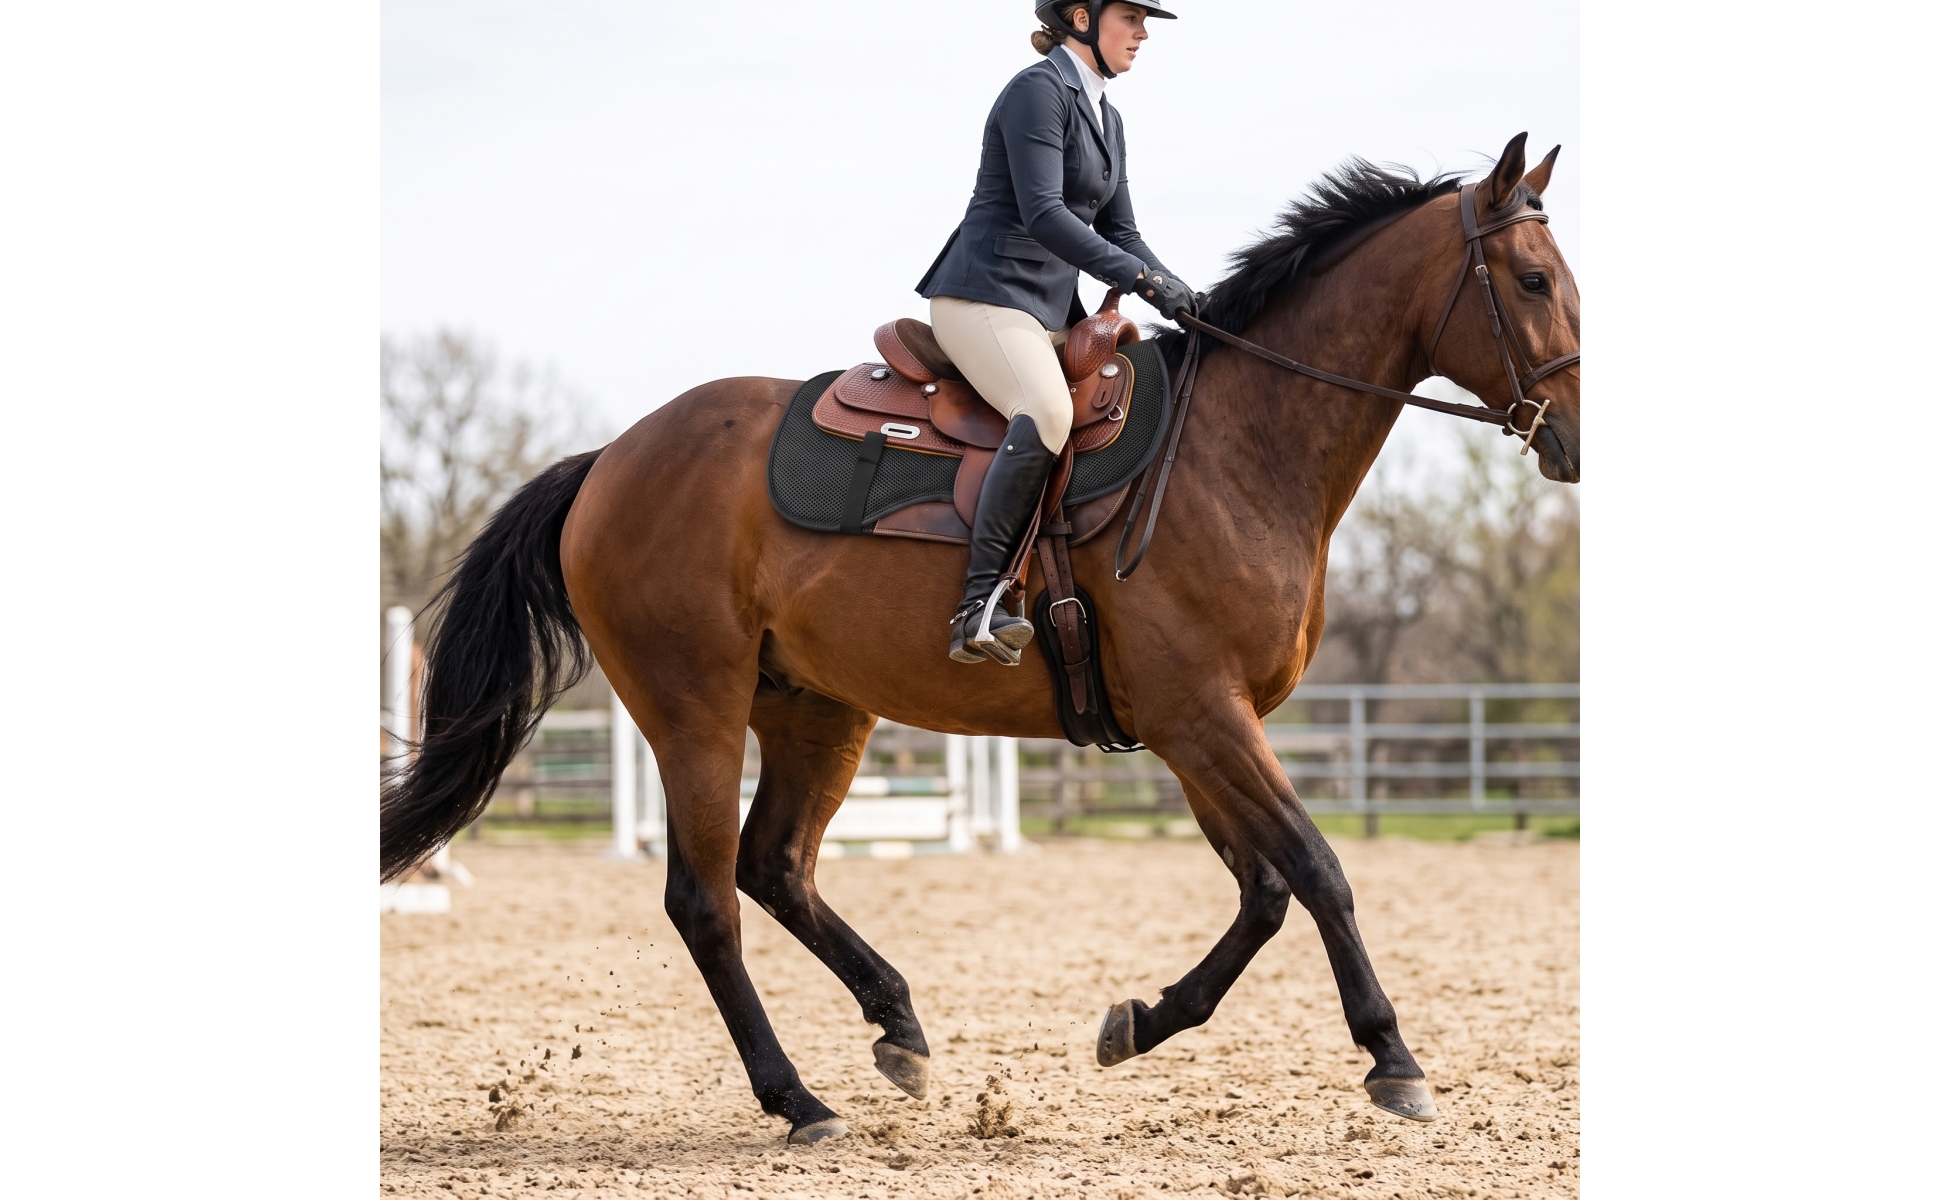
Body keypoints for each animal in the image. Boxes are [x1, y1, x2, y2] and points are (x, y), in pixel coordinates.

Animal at [380, 132, 1581, 1145]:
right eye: (1531, 281)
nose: (1570, 439)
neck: (1239, 448)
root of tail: (611, 458)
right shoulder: (1204, 715)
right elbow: (1320, 871)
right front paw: (1392, 1059)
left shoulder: (1193, 727)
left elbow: (1265, 889)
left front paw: (1139, 1022)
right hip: (694, 710)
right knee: (705, 899)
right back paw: (797, 1099)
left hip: (817, 709)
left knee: (776, 866)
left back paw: (898, 1029)